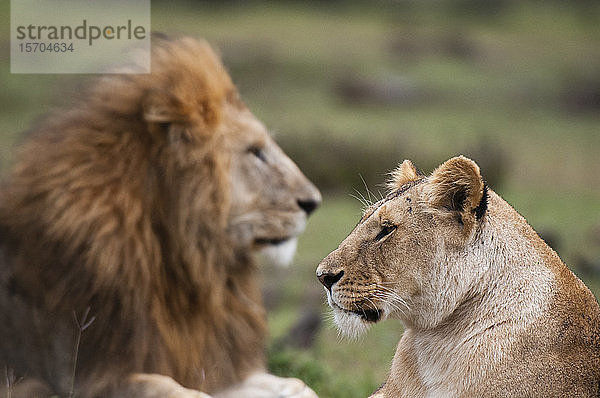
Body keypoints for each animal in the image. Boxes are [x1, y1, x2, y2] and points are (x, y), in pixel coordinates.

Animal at [0, 35, 324, 396]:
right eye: (255, 152)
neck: (182, 266)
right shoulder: (79, 376)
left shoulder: (210, 362)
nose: (314, 202)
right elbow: (168, 387)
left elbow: (296, 384)